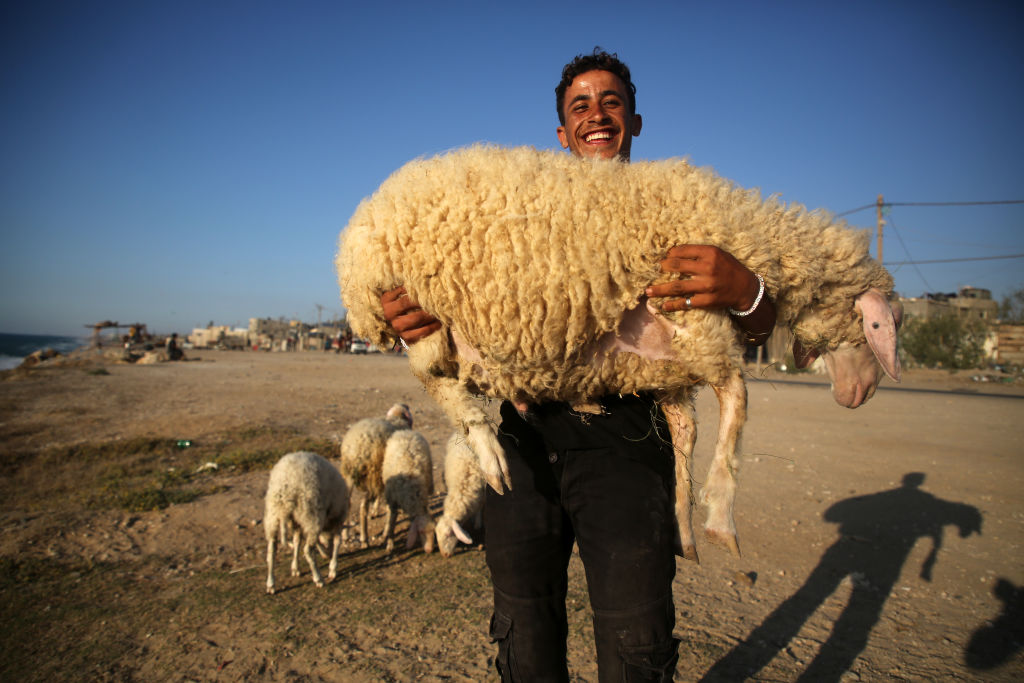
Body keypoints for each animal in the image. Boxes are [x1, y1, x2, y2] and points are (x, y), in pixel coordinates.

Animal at [264, 448, 352, 593]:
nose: (327, 555)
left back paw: (271, 584)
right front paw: (332, 568)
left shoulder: (298, 523)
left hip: (273, 516)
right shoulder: (337, 519)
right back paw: (318, 578)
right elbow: (337, 541)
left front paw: (295, 567)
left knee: (271, 551)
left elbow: (297, 541)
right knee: (307, 551)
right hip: (311, 514)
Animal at [339, 403, 411, 548]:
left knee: (348, 502)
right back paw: (364, 538)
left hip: (351, 475)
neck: (397, 417)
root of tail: (358, 447)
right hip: (373, 473)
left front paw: (376, 511)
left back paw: (345, 535)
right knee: (363, 506)